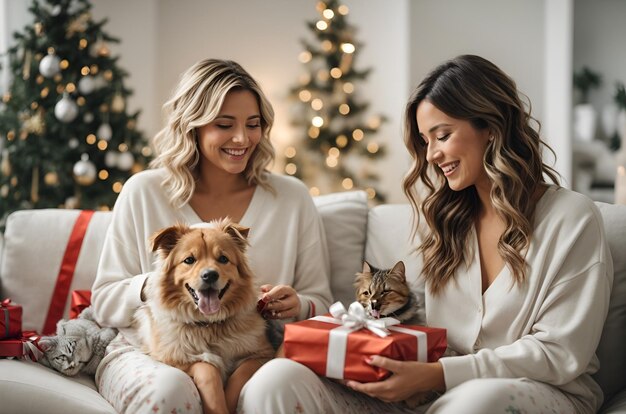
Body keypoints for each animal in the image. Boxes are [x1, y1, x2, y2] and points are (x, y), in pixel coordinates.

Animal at [133, 218, 272, 384]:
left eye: (223, 259)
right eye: (189, 260)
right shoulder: (168, 357)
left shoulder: (262, 353)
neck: (208, 325)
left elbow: (240, 374)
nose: (210, 275)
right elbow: (207, 368)